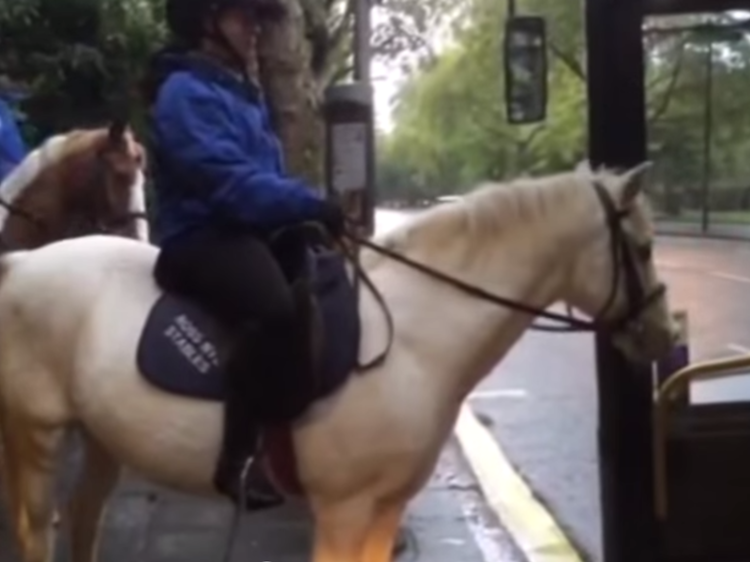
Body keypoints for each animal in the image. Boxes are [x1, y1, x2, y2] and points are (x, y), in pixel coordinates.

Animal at [0, 159, 676, 560]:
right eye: (643, 249)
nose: (663, 339)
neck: (415, 339)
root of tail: (22, 263)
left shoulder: (383, 511)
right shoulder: (344, 511)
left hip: (99, 436)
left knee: (83, 517)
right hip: (37, 434)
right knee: (37, 527)